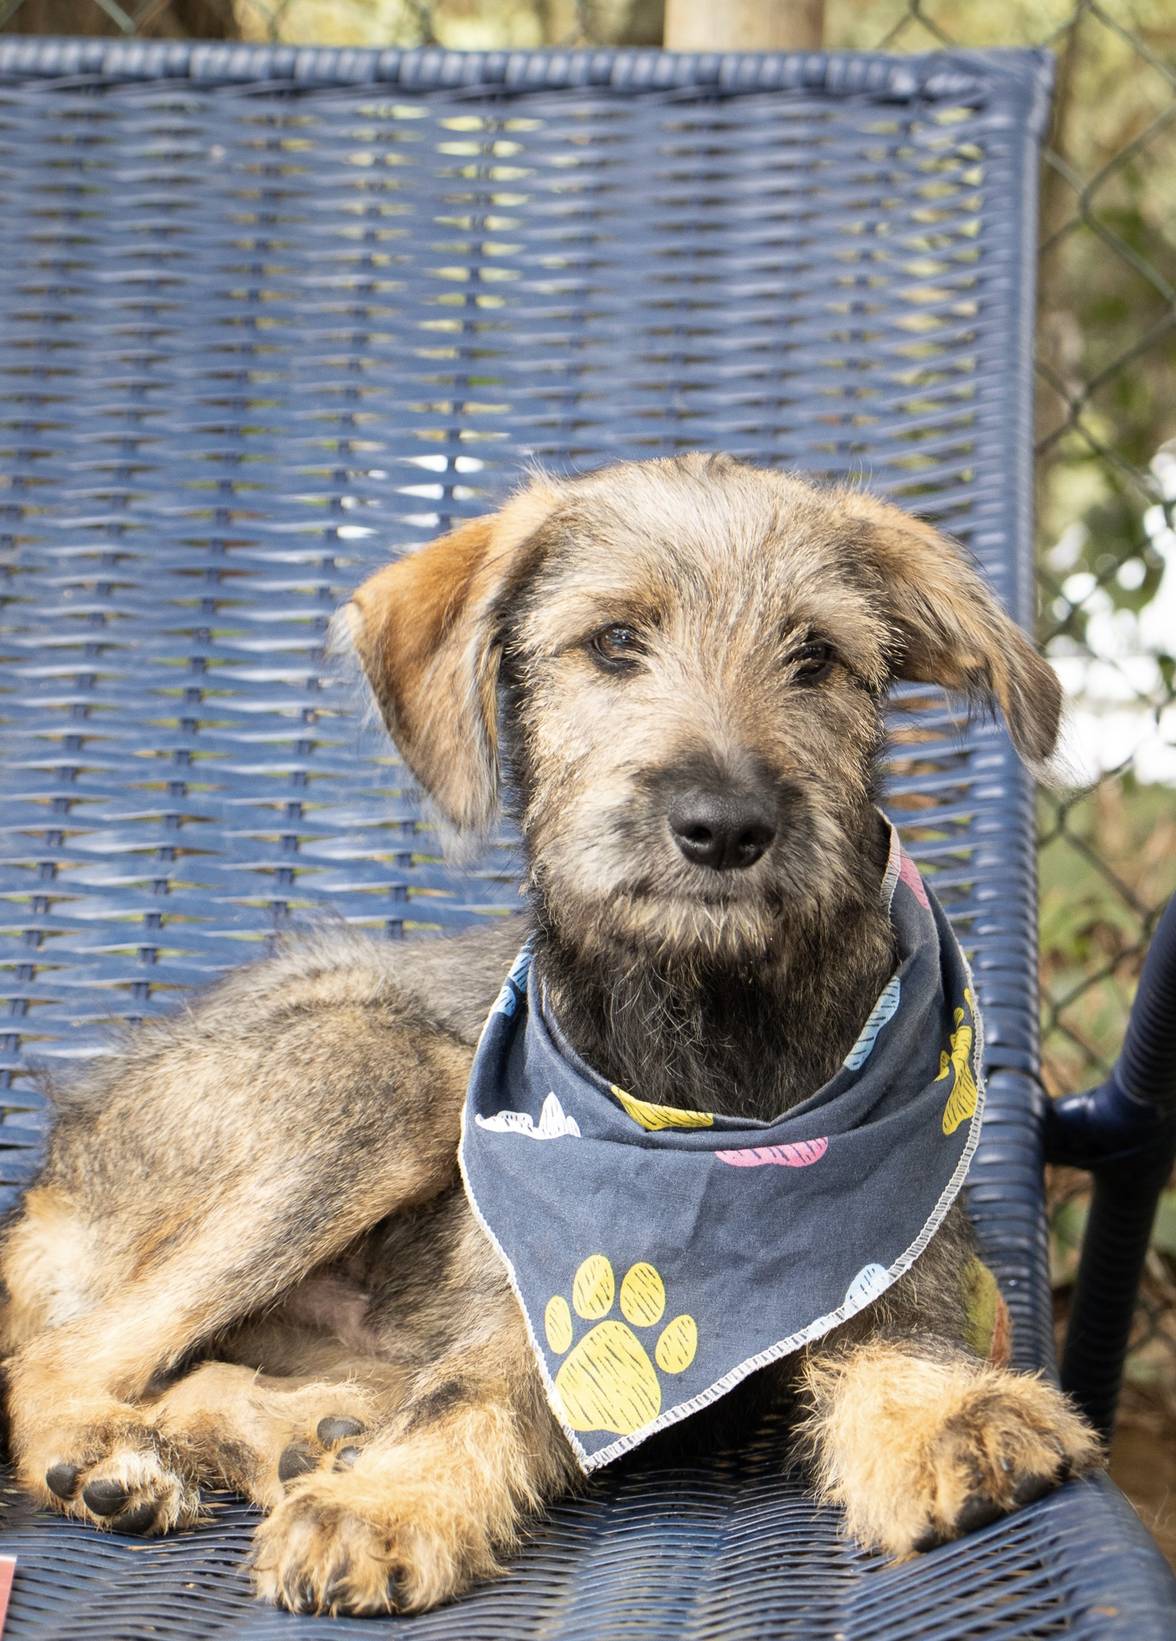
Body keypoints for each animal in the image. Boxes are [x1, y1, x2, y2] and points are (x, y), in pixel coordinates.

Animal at [0, 455, 1099, 1616]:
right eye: (614, 641)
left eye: (817, 657)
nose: (725, 826)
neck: (704, 1057)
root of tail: (48, 1184)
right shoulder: (519, 1300)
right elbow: (461, 1394)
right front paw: (384, 1502)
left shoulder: (899, 1257)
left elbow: (896, 1336)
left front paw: (944, 1414)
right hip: (401, 1076)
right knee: (60, 1360)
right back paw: (127, 1458)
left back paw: (288, 1433)